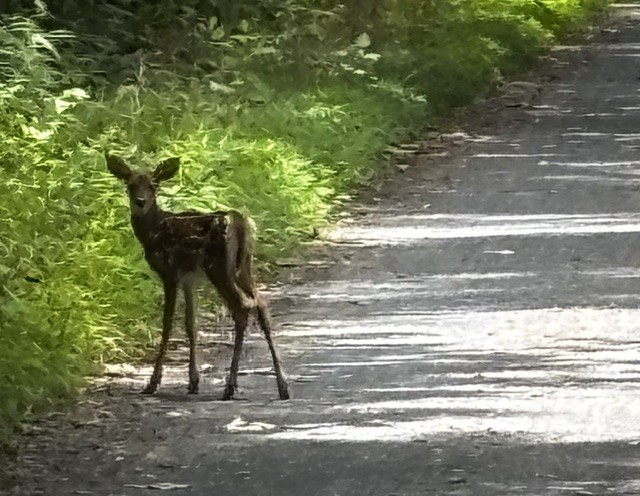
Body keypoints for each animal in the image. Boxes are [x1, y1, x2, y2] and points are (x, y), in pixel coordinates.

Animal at [106, 154, 290, 401]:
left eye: (153, 185)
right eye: (130, 185)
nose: (141, 201)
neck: (154, 230)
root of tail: (238, 221)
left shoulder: (169, 272)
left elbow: (167, 324)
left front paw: (153, 383)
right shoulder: (189, 279)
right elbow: (191, 323)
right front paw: (193, 382)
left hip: (219, 267)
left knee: (242, 306)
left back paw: (230, 387)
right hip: (243, 267)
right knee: (260, 304)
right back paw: (282, 385)